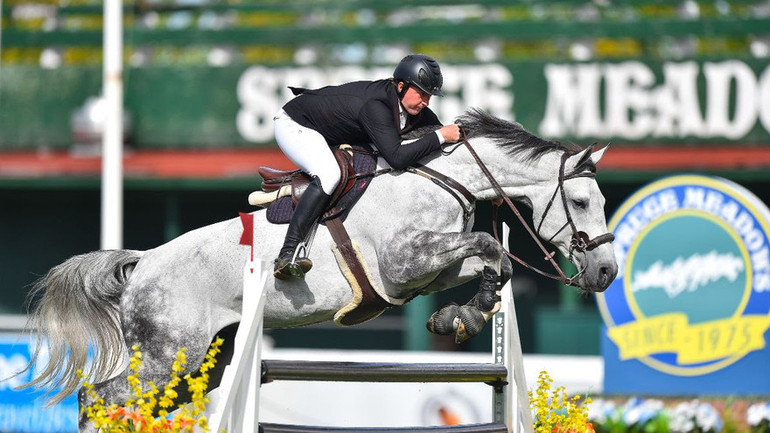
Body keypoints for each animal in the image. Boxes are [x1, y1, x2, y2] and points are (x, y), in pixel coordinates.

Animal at [21, 109, 616, 428]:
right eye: (581, 201)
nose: (607, 272)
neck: (445, 177)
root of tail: (143, 264)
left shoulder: (428, 267)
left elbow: (489, 262)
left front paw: (459, 318)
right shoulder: (404, 262)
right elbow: (489, 245)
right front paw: (464, 316)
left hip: (198, 367)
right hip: (167, 358)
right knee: (95, 399)